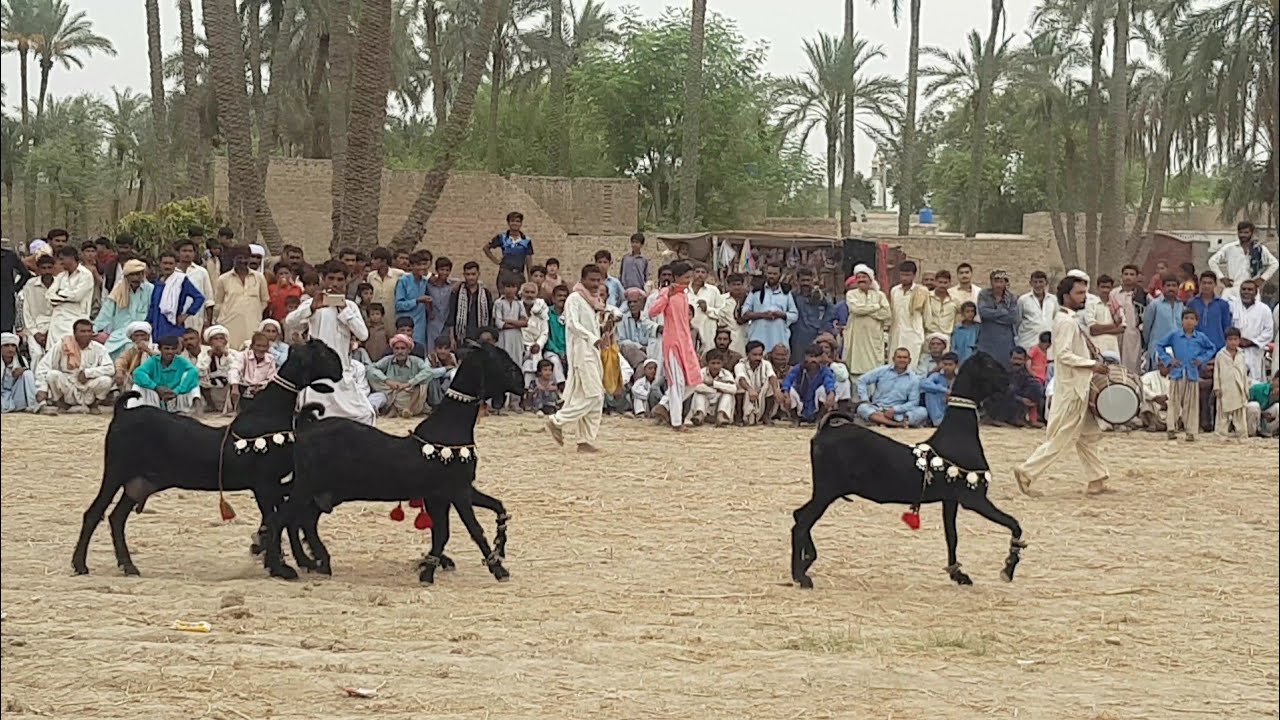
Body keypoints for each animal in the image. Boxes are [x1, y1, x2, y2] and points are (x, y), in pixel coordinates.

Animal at [70, 340, 345, 577]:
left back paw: (128, 565)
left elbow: (279, 522)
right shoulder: (264, 485)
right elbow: (275, 521)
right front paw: (280, 567)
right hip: (116, 472)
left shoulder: (275, 486)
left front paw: (292, 560)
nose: (340, 367)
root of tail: (122, 413)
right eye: (321, 353)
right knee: (94, 513)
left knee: (116, 518)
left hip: (138, 483)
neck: (268, 415)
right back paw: (80, 564)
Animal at [262, 340, 527, 583]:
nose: (522, 385)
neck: (448, 431)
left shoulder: (446, 495)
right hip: (307, 488)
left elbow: (483, 513)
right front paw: (498, 569)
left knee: (302, 521)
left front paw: (432, 568)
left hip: (324, 493)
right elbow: (473, 530)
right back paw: (282, 568)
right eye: (502, 362)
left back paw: (317, 562)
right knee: (281, 520)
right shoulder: (457, 492)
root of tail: (306, 427)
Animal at [791, 351, 1026, 589]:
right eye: (989, 365)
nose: (1010, 382)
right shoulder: (974, 500)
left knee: (799, 516)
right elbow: (1014, 524)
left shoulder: (950, 500)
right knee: (801, 523)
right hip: (827, 491)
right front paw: (1008, 567)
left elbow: (952, 536)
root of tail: (827, 430)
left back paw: (806, 562)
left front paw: (958, 573)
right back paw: (801, 575)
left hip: (825, 492)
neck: (958, 436)